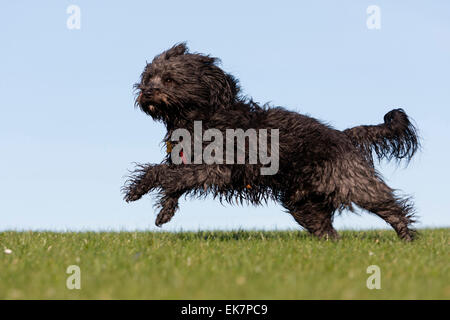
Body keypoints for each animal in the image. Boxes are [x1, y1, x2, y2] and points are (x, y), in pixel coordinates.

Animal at [122, 43, 418, 241]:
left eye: (169, 79)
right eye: (147, 78)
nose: (146, 91)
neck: (201, 116)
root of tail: (343, 135)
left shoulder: (216, 168)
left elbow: (167, 174)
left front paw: (145, 188)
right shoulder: (190, 163)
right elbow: (172, 180)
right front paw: (160, 208)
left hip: (351, 182)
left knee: (391, 206)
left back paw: (407, 239)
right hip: (303, 203)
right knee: (327, 229)